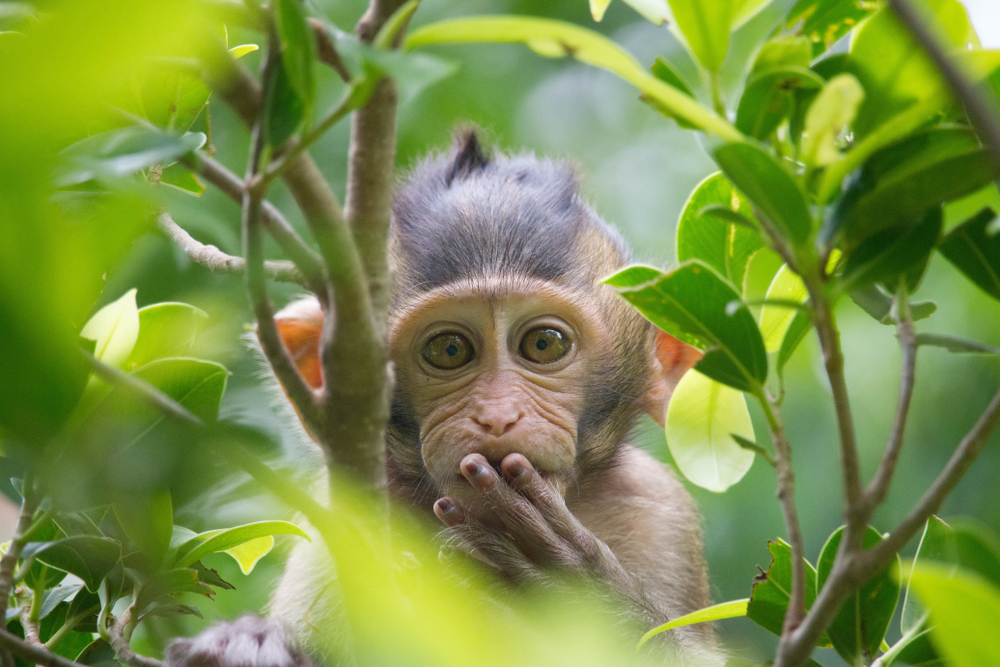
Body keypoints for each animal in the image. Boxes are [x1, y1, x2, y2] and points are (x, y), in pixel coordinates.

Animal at [166, 132, 724, 667]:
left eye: (544, 344)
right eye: (449, 349)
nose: (497, 417)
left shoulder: (657, 513)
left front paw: (581, 591)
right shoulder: (339, 526)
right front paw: (251, 645)